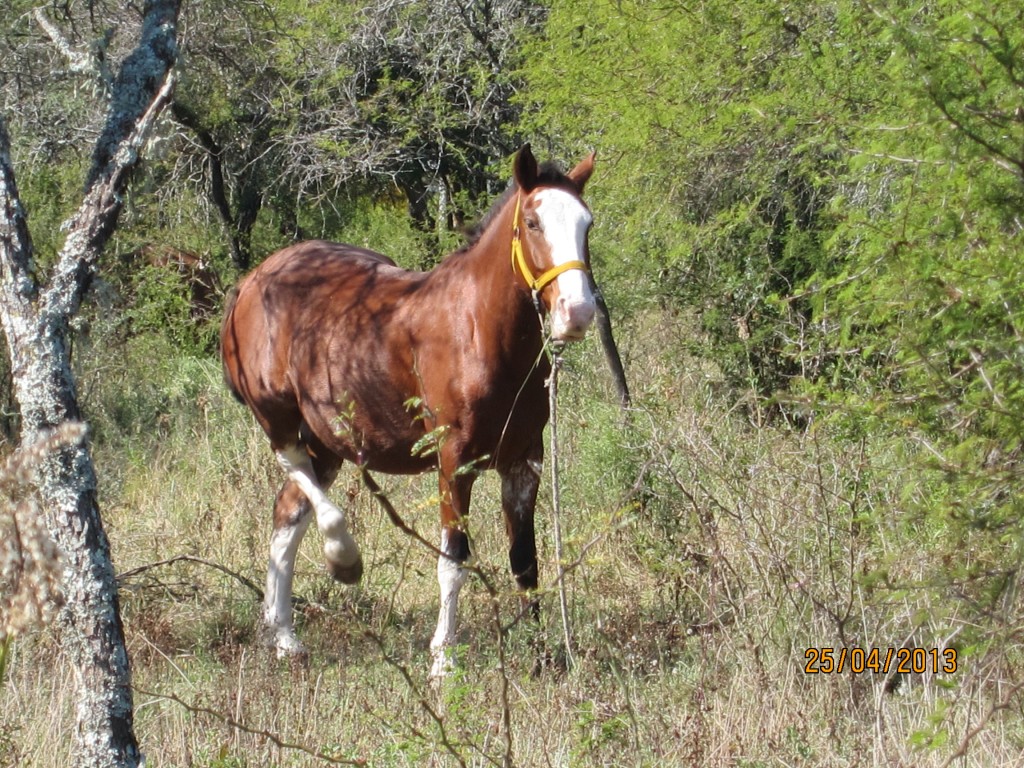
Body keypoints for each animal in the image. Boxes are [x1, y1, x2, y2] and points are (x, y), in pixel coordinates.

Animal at [220, 145, 598, 679]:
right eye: (532, 222)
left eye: (587, 223)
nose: (577, 313)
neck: (477, 331)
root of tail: (250, 282)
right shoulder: (454, 461)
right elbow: (453, 560)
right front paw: (443, 661)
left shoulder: (525, 460)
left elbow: (525, 559)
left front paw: (545, 656)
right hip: (279, 418)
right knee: (297, 476)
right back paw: (342, 559)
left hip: (329, 440)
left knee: (287, 512)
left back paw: (285, 636)